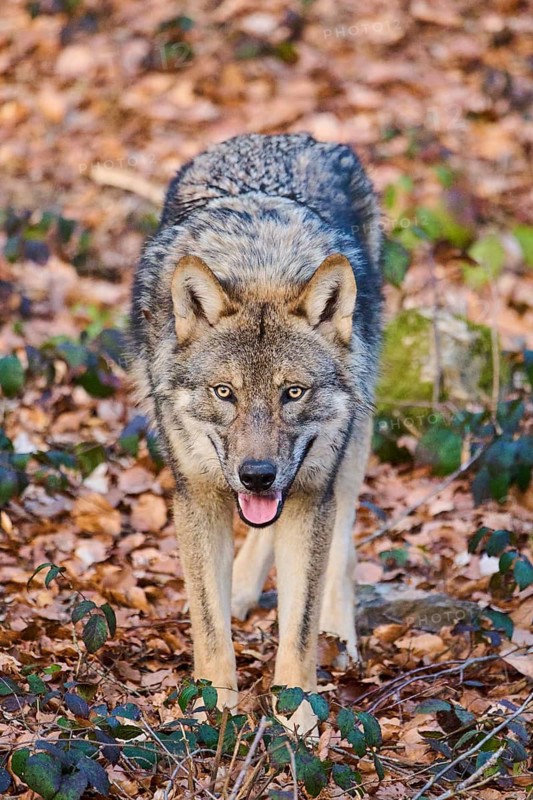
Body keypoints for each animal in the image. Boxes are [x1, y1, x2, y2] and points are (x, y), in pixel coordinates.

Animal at [131, 133, 382, 733]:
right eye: (226, 393)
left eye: (293, 392)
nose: (258, 474)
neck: (260, 265)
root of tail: (284, 137)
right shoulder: (197, 496)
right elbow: (209, 626)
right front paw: (210, 708)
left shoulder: (310, 494)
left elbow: (299, 628)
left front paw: (299, 717)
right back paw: (244, 588)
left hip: (347, 448)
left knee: (341, 547)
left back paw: (340, 634)